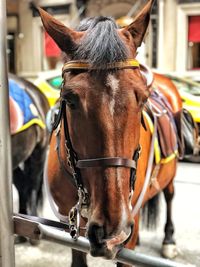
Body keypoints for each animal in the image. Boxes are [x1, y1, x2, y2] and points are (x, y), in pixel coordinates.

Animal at [38, 0, 179, 266]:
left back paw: (169, 240)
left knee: (169, 195)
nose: (111, 231)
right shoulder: (71, 228)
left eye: (143, 98)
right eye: (69, 99)